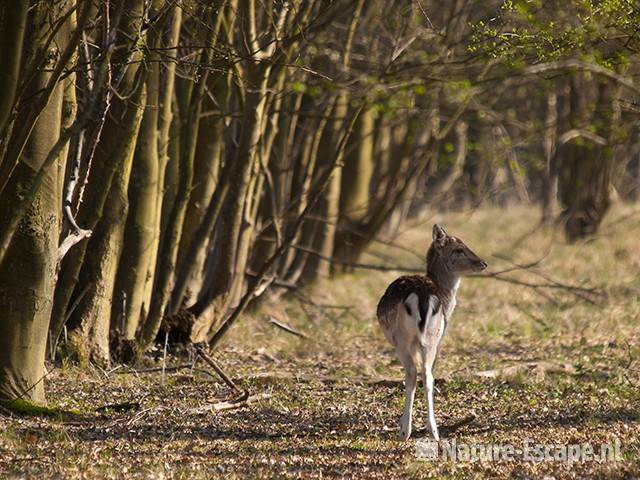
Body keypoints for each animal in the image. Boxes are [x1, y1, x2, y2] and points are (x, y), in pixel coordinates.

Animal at [376, 223, 484, 440]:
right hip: (428, 337)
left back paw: (408, 430)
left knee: (414, 372)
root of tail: (422, 296)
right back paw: (428, 430)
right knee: (425, 374)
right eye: (459, 249)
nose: (483, 263)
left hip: (404, 338)